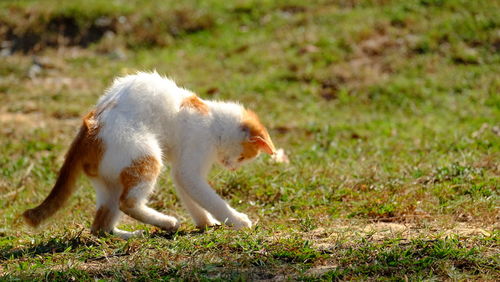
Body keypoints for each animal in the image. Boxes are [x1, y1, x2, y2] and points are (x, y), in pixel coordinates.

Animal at [23, 71, 276, 239]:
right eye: (243, 158)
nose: (232, 167)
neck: (213, 120)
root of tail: (88, 128)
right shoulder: (190, 164)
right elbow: (208, 197)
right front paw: (237, 220)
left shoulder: (181, 170)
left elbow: (191, 197)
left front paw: (205, 222)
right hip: (146, 157)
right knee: (128, 204)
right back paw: (167, 222)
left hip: (109, 183)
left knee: (100, 226)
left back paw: (130, 235)